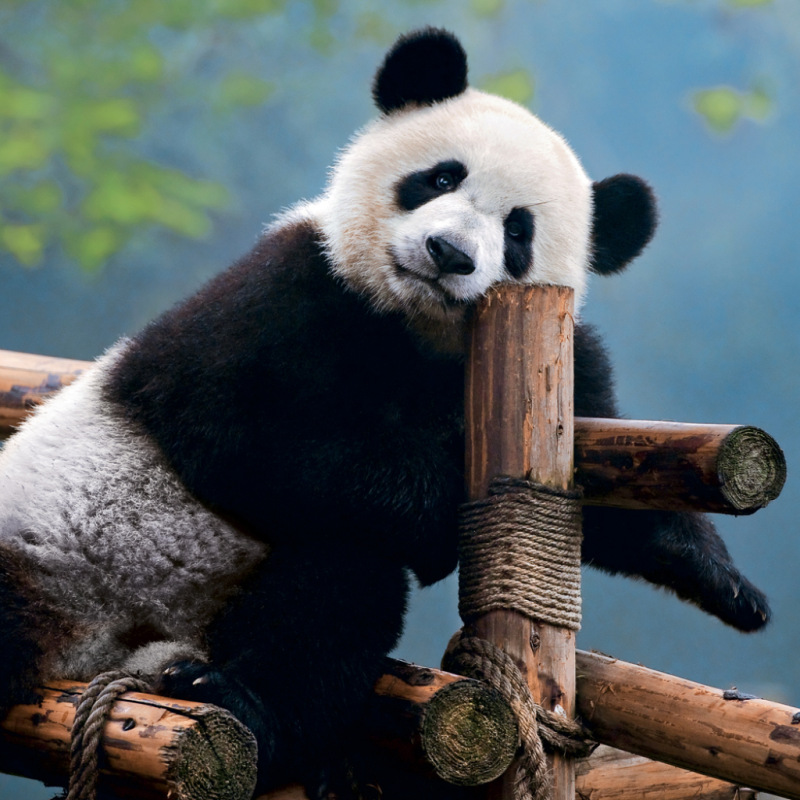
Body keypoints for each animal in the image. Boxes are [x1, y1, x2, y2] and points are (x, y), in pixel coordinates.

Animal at [0, 28, 769, 792]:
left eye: (518, 232)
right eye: (440, 178)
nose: (450, 252)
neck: (416, 324)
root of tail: (92, 657)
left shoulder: (557, 362)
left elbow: (609, 487)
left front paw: (727, 584)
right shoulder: (285, 292)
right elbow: (237, 427)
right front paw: (436, 516)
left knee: (332, 594)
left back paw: (251, 709)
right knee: (346, 562)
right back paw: (234, 699)